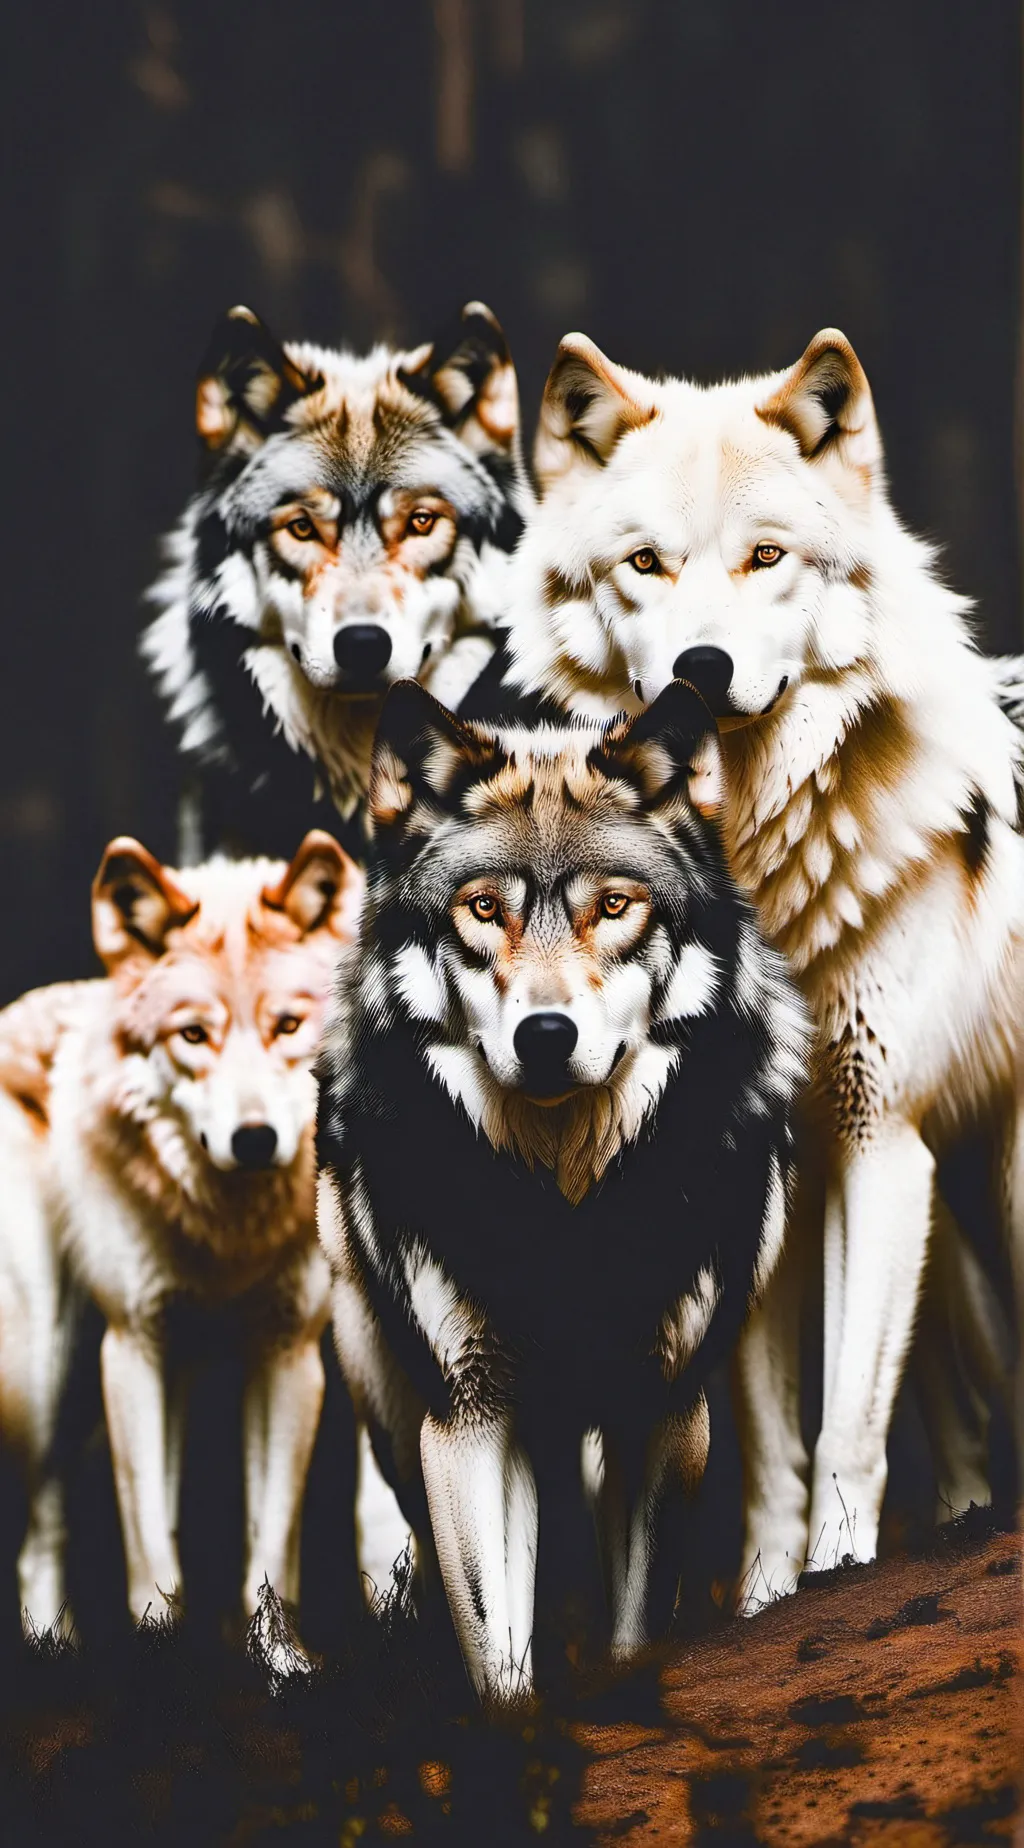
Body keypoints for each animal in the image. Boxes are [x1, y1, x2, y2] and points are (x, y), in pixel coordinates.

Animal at [0, 829, 360, 1648]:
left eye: (287, 1026)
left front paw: (278, 1658)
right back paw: (50, 1648)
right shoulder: (132, 1347)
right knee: (41, 1529)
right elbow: (147, 1542)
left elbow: (271, 1542)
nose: (254, 1139)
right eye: (194, 1035)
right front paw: (158, 1654)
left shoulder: (288, 1354)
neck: (228, 1234)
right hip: (48, 1370)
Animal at [316, 677, 808, 1698]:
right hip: (396, 1411)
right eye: (483, 910)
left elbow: (636, 1625)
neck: (568, 1211)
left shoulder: (661, 1409)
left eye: (614, 907)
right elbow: (499, 1656)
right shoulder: (471, 1414)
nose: (545, 1035)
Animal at [497, 325, 1024, 1600]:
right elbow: (774, 1443)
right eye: (643, 564)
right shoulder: (751, 1167)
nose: (699, 666)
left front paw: (838, 1571)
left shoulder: (879, 1137)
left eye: (767, 559)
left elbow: (844, 1424)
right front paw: (770, 1596)